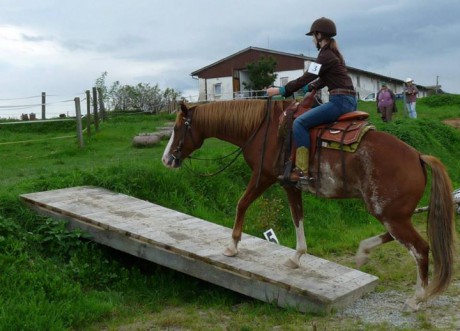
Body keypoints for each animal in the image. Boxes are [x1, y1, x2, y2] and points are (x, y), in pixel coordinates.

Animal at [160, 94, 454, 312]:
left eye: (176, 128)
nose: (166, 160)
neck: (263, 128)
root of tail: (418, 156)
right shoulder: (289, 184)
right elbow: (297, 216)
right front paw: (296, 257)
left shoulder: (262, 177)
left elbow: (242, 204)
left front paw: (232, 246)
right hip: (393, 214)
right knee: (401, 238)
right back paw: (364, 251)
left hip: (389, 214)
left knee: (421, 249)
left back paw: (416, 299)